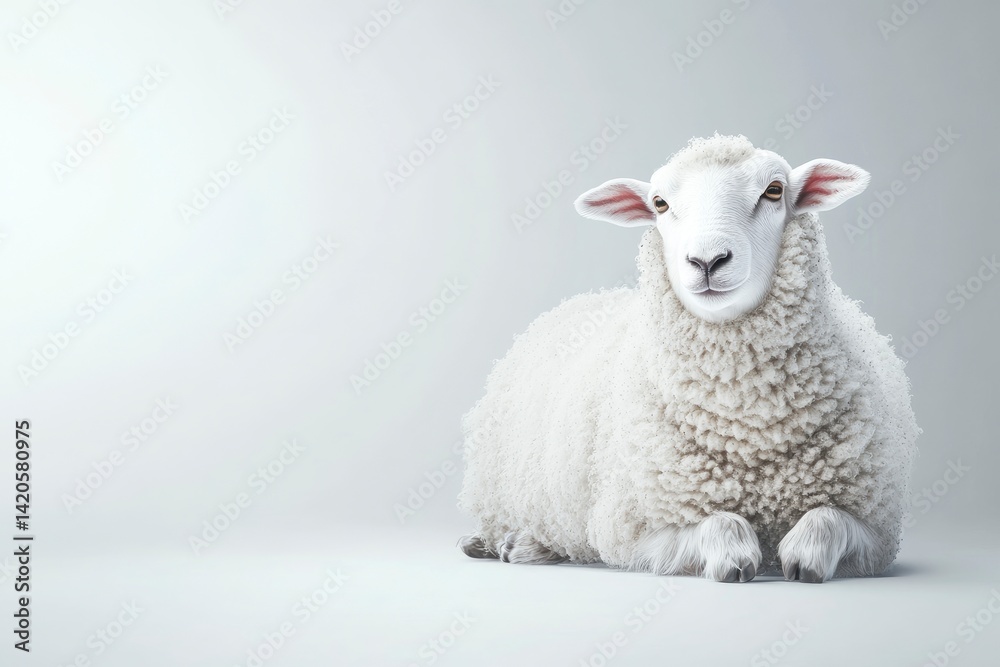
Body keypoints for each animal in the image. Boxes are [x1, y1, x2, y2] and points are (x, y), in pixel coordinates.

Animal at [457, 134, 919, 583]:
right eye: (660, 203)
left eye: (774, 191)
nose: (707, 260)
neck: (746, 422)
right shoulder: (631, 531)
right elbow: (722, 524)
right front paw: (735, 558)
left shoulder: (878, 532)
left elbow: (827, 518)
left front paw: (804, 555)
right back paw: (509, 543)